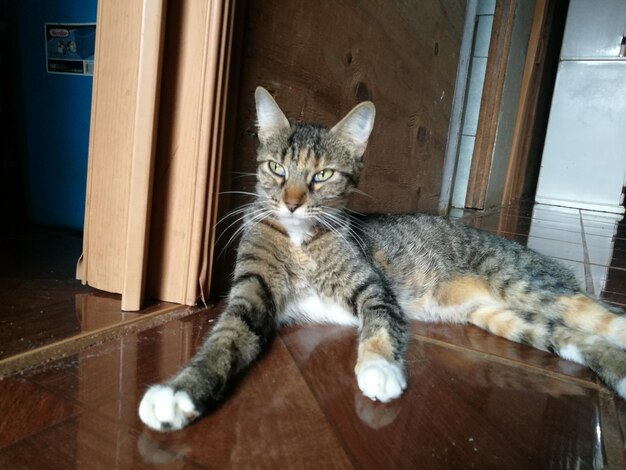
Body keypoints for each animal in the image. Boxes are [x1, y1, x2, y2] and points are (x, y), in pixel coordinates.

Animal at [139, 86, 624, 432]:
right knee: (577, 338)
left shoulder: (372, 287)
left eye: (322, 175)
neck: (299, 238)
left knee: (602, 316)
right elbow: (226, 337)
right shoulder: (252, 292)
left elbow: (378, 324)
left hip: (523, 283)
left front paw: (378, 369)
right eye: (276, 168)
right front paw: (179, 393)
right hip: (503, 317)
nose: (292, 204)